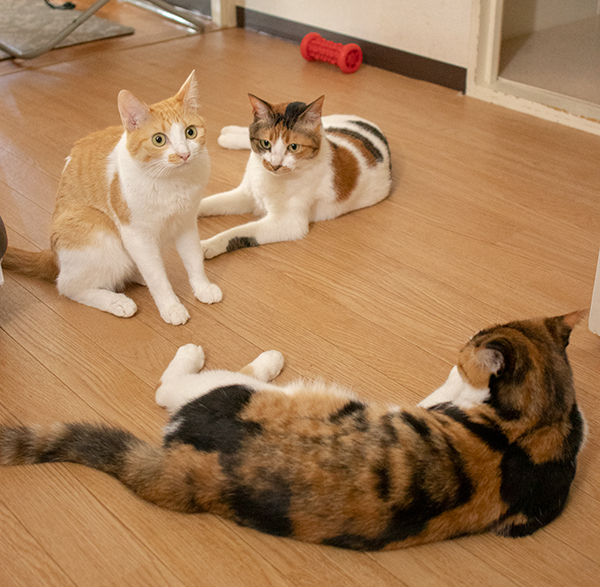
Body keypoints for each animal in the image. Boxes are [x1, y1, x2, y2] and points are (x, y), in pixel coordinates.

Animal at [0, 311, 586, 550]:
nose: (461, 344)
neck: (549, 416)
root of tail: (195, 478)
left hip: (237, 394)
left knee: (171, 388)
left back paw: (237, 356)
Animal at [2, 71, 221, 325]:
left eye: (190, 132)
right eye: (159, 140)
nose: (184, 154)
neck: (173, 182)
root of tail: (54, 257)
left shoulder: (186, 222)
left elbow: (193, 258)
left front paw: (202, 288)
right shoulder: (136, 235)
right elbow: (157, 277)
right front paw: (171, 306)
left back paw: (137, 274)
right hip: (97, 229)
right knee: (68, 286)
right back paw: (117, 301)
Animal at [197, 94, 392, 258]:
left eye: (293, 147)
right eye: (265, 143)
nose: (275, 164)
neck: (269, 176)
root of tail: (371, 125)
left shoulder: (288, 223)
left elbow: (237, 232)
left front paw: (206, 246)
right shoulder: (246, 194)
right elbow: (208, 203)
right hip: (327, 126)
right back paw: (228, 134)